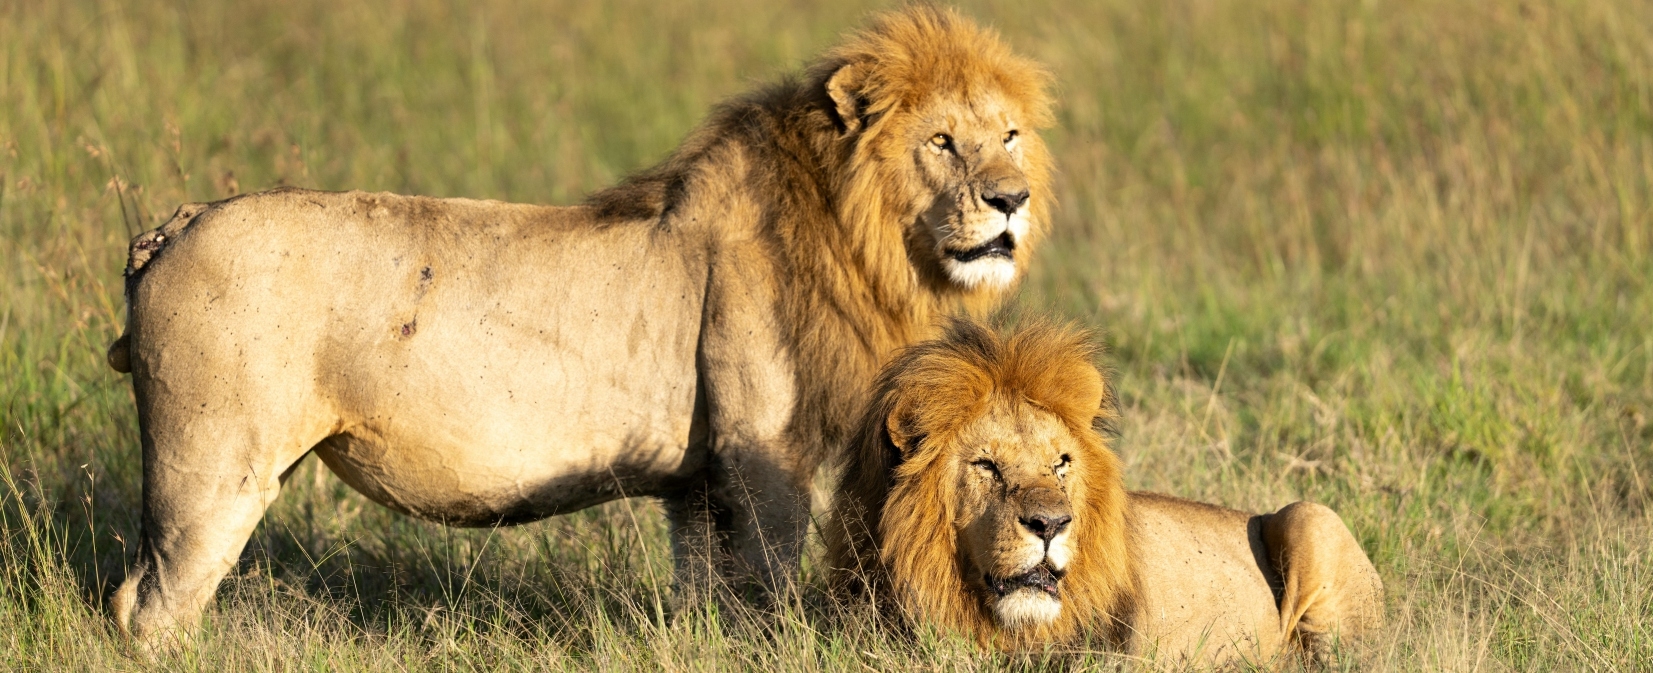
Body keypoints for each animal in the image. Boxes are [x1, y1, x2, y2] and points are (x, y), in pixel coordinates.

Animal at [106, 6, 1054, 646]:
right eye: (942, 141)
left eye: (1008, 135)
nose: (1011, 199)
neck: (858, 233)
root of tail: (175, 224)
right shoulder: (763, 454)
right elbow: (773, 590)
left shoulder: (699, 481)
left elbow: (709, 595)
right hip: (212, 466)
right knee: (147, 605)